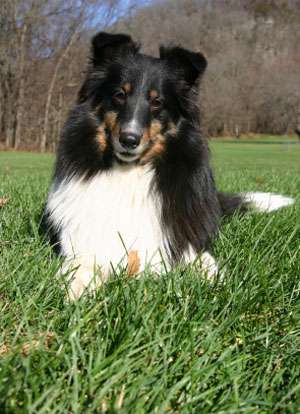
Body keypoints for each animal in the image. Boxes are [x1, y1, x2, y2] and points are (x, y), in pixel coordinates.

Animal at [44, 31, 292, 298]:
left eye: (157, 102)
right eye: (120, 95)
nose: (129, 140)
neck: (129, 172)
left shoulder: (184, 239)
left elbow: (203, 261)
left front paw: (218, 285)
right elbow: (80, 264)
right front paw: (78, 288)